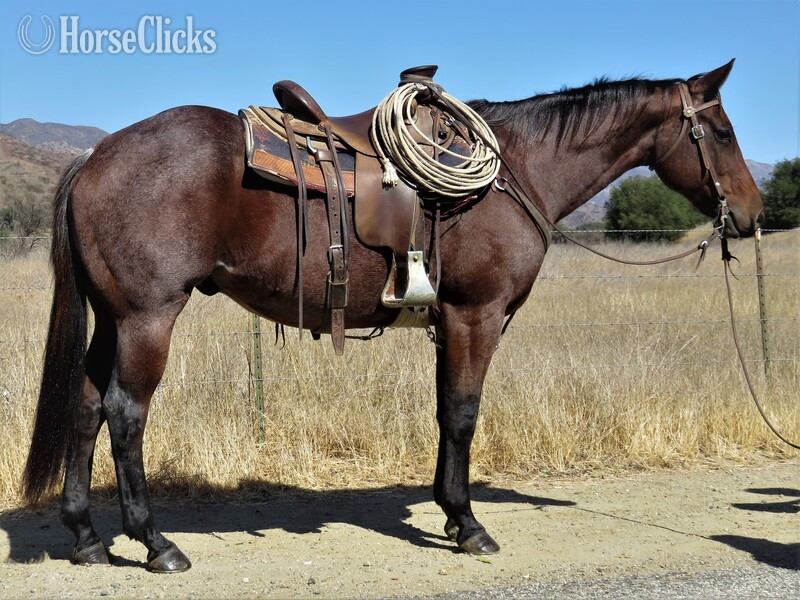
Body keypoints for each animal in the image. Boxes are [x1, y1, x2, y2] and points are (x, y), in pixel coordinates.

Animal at [22, 60, 762, 572]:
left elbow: (444, 412)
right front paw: (470, 525)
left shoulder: (448, 323)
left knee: (85, 406)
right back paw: (155, 543)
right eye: (723, 131)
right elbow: (463, 413)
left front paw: (450, 514)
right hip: (147, 318)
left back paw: (86, 537)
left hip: (113, 317)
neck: (517, 171)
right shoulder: (476, 316)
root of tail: (94, 155)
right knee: (125, 414)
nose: (752, 214)